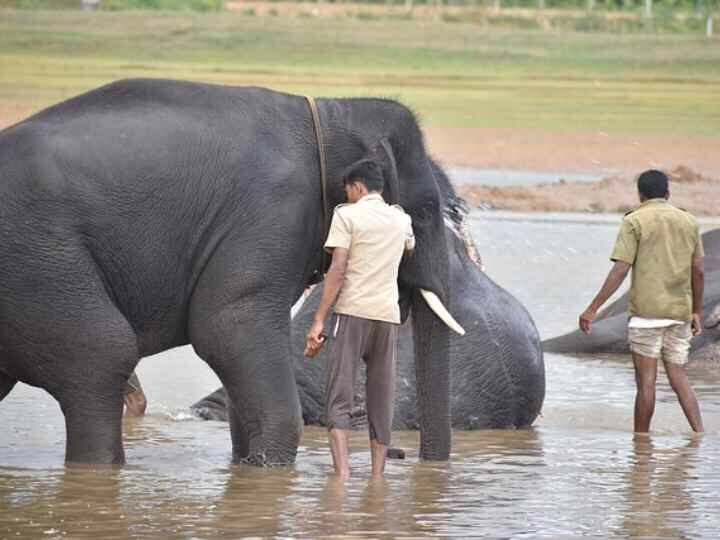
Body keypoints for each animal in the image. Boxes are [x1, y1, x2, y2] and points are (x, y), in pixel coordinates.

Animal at [0, 78, 462, 466]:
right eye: (425, 211)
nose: (406, 457)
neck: (330, 114)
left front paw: (248, 466)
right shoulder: (271, 213)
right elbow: (227, 329)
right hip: (38, 260)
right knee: (103, 355)